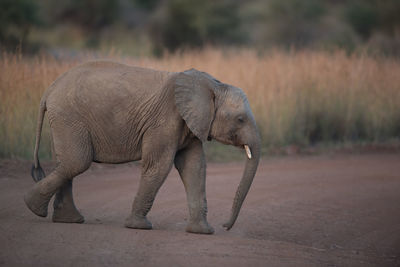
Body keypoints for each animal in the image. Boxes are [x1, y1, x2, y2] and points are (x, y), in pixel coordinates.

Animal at [25, 60, 262, 234]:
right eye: (240, 119)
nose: (225, 226)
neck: (213, 84)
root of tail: (50, 89)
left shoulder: (191, 124)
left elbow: (194, 167)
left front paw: (202, 232)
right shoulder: (165, 120)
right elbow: (159, 166)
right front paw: (139, 227)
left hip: (65, 120)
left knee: (67, 163)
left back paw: (67, 220)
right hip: (69, 117)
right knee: (77, 162)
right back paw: (33, 208)